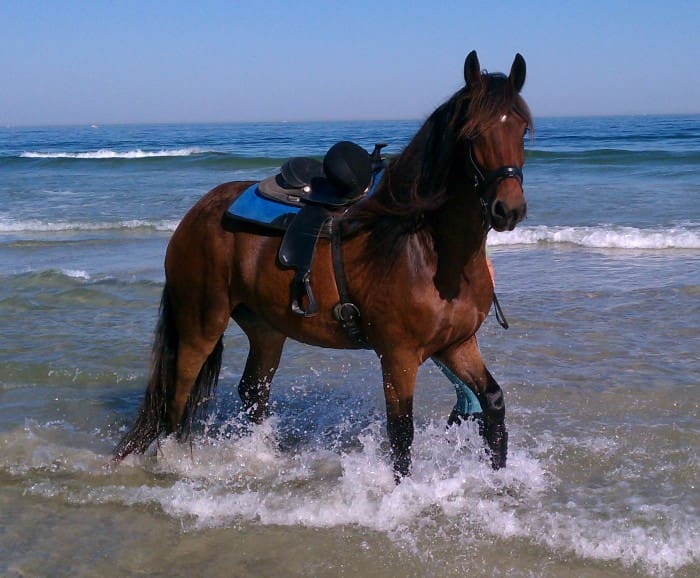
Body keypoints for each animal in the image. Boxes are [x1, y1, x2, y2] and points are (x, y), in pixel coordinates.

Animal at [113, 50, 532, 476]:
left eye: (522, 131)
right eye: (472, 134)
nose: (509, 209)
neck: (430, 252)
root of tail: (196, 215)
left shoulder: (457, 344)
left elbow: (492, 403)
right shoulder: (398, 356)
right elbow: (401, 436)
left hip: (266, 328)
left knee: (252, 392)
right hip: (201, 325)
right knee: (178, 396)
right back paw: (175, 463)